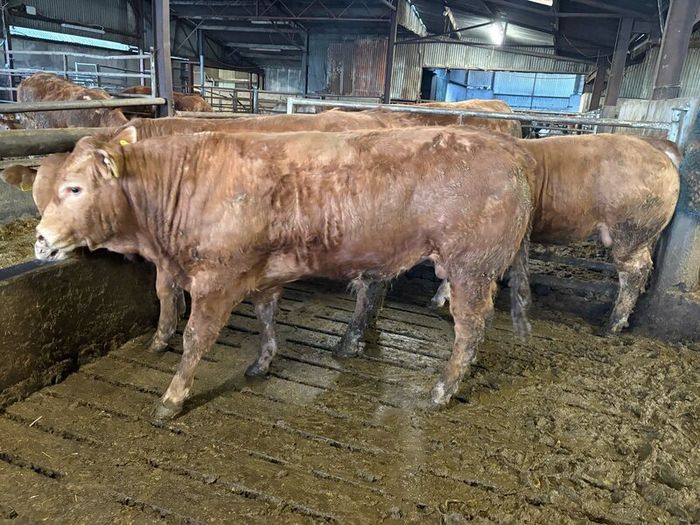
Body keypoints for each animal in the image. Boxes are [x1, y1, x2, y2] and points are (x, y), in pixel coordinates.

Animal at [31, 125, 533, 418]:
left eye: (73, 188)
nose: (39, 239)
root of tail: (512, 152)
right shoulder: (263, 274)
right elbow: (266, 317)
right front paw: (262, 362)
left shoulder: (216, 279)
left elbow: (195, 339)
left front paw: (172, 398)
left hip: (470, 267)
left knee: (469, 327)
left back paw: (444, 388)